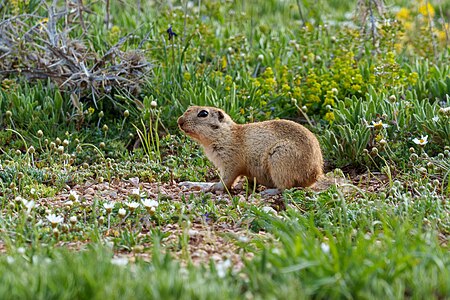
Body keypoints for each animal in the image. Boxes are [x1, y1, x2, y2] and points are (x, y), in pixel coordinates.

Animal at [177, 106, 324, 192]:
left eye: (203, 113)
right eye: (189, 107)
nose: (179, 121)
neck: (226, 134)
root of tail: (315, 174)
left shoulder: (230, 160)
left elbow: (228, 178)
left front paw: (214, 187)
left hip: (279, 160)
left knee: (285, 188)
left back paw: (268, 191)